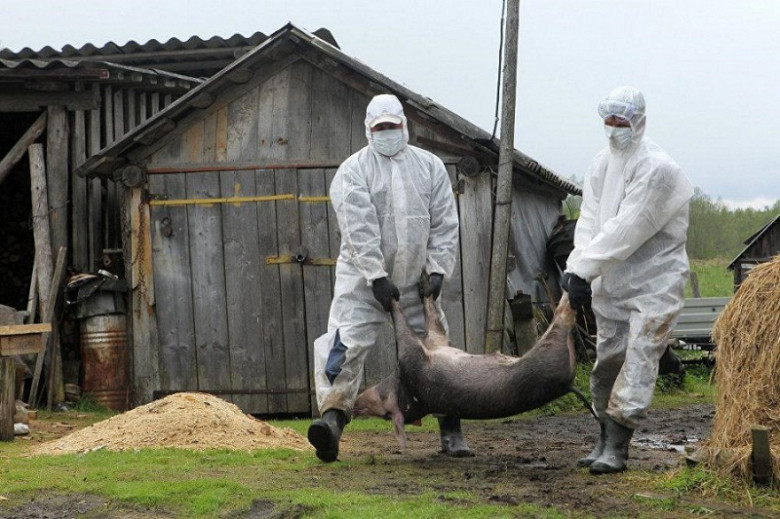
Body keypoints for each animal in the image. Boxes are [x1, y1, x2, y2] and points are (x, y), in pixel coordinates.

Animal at [352, 280, 584, 450]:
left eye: (380, 409)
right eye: (386, 414)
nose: (354, 406)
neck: (406, 388)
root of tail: (567, 384)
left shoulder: (436, 345)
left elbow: (435, 327)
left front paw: (426, 285)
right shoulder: (415, 360)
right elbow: (405, 331)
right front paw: (390, 294)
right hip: (550, 346)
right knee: (564, 314)